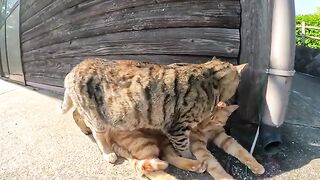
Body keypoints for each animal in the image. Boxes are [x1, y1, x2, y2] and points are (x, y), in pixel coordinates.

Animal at [60, 57, 248, 160]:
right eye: (238, 82)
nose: (235, 94)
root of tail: (72, 70)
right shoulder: (178, 128)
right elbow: (184, 148)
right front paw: (192, 158)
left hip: (87, 110)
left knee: (76, 114)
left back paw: (85, 130)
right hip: (96, 116)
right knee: (98, 134)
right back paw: (107, 154)